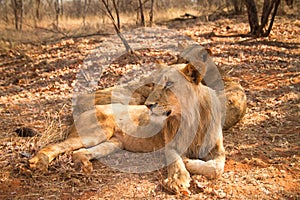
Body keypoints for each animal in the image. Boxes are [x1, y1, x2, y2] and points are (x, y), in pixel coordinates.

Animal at [29, 63, 225, 195]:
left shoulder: (218, 149)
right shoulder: (169, 146)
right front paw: (178, 178)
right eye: (153, 85)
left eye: (169, 84)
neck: (191, 118)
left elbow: (216, 168)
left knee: (79, 152)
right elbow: (176, 160)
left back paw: (83, 165)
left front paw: (190, 164)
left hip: (113, 143)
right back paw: (38, 162)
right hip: (96, 133)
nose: (148, 105)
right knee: (55, 147)